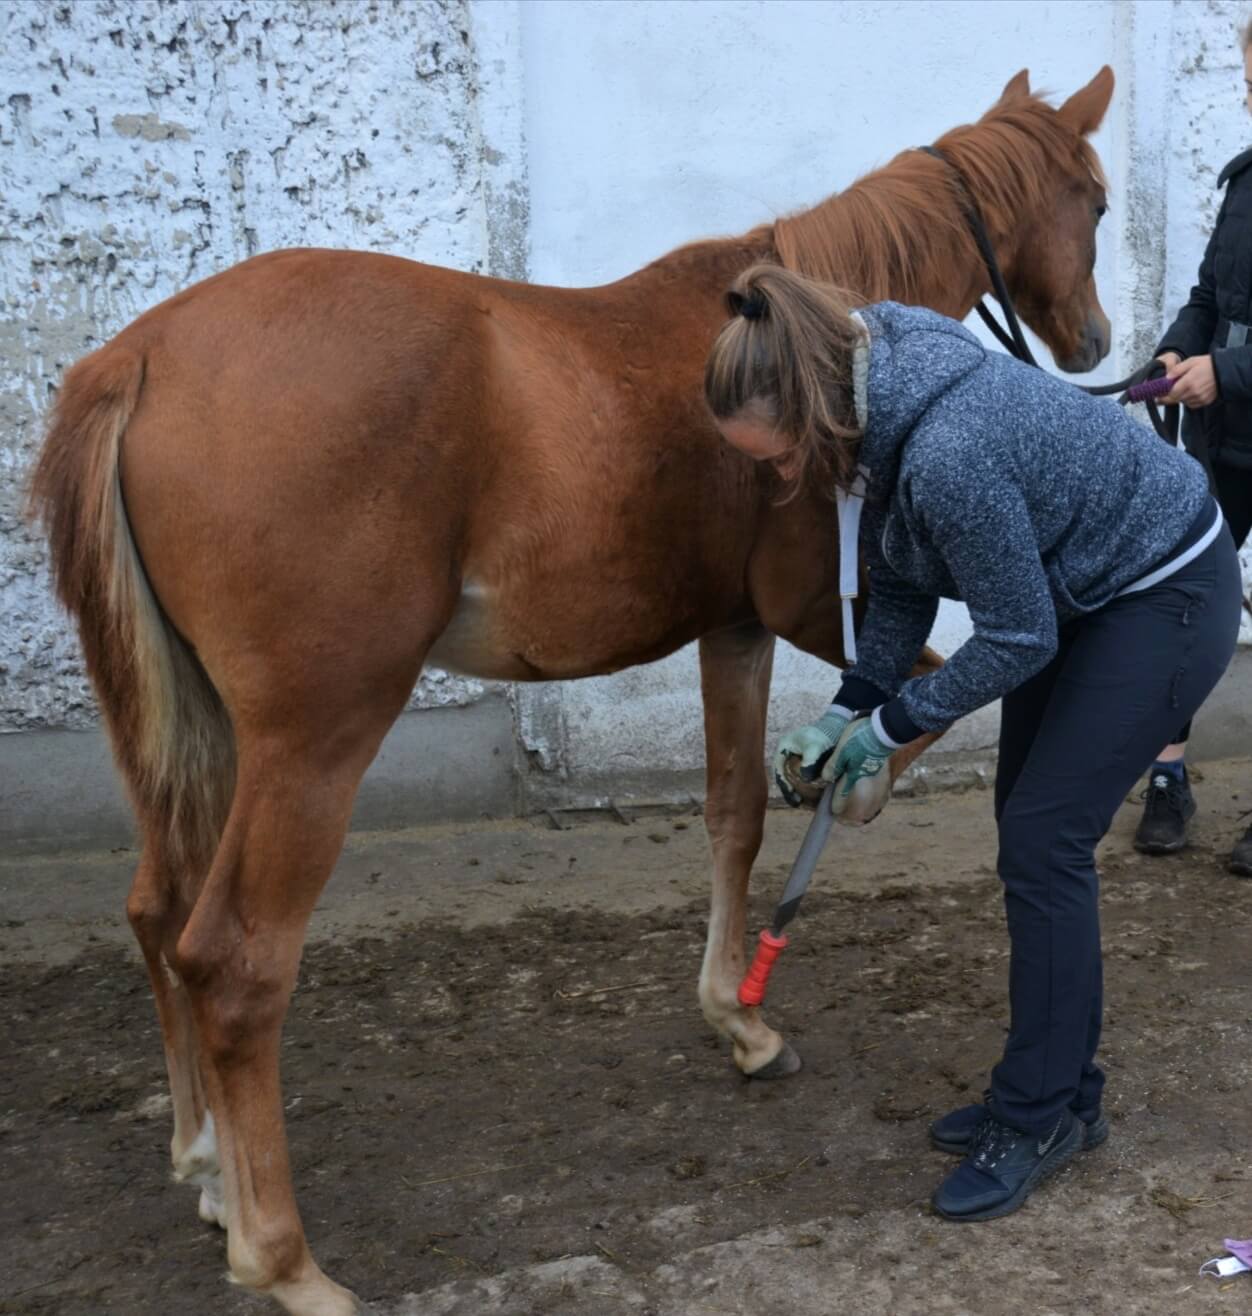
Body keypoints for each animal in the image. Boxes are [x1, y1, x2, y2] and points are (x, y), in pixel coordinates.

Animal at [29, 66, 1113, 1315]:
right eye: (1092, 199)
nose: (1094, 338)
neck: (822, 340)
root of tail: (141, 358)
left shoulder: (736, 628)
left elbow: (735, 812)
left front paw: (739, 1017)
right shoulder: (812, 609)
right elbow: (922, 701)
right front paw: (858, 792)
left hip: (185, 731)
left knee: (159, 912)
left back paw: (208, 1166)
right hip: (311, 739)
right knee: (235, 960)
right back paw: (284, 1257)